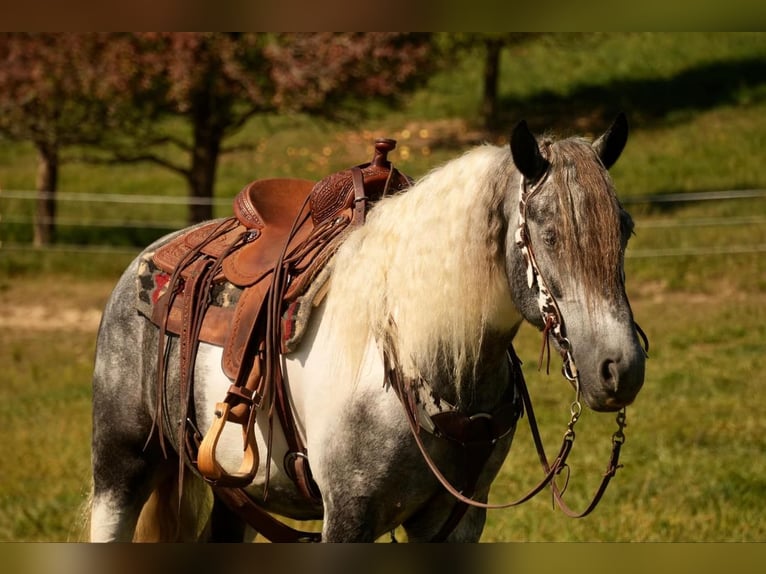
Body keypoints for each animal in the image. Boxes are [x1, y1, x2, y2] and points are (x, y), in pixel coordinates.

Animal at [88, 116, 648, 544]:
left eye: (625, 229)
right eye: (549, 234)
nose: (619, 369)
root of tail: (151, 256)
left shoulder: (458, 520)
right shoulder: (348, 516)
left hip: (233, 491)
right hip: (120, 465)